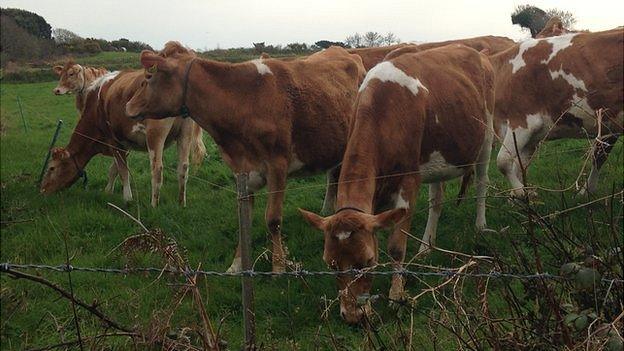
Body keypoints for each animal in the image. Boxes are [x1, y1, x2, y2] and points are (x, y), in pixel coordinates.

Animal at [40, 69, 206, 208]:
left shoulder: (112, 140)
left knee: (157, 169)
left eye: (52, 168)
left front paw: (127, 198)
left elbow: (122, 170)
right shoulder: (124, 143)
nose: (42, 190)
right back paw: (181, 203)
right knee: (183, 167)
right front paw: (108, 191)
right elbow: (114, 169)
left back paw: (154, 205)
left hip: (155, 135)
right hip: (185, 133)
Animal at [123, 42, 364, 274]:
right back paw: (328, 210)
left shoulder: (278, 166)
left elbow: (273, 220)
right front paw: (237, 264)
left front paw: (278, 267)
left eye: (149, 76)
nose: (128, 106)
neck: (245, 101)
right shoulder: (242, 169)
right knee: (334, 176)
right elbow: (244, 219)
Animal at [300, 44, 494, 324]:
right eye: (330, 264)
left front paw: (396, 296)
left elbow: (395, 247)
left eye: (367, 261)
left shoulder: (408, 182)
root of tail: (474, 50)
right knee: (437, 200)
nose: (352, 316)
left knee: (481, 182)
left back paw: (480, 225)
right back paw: (426, 246)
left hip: (486, 135)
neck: (382, 111)